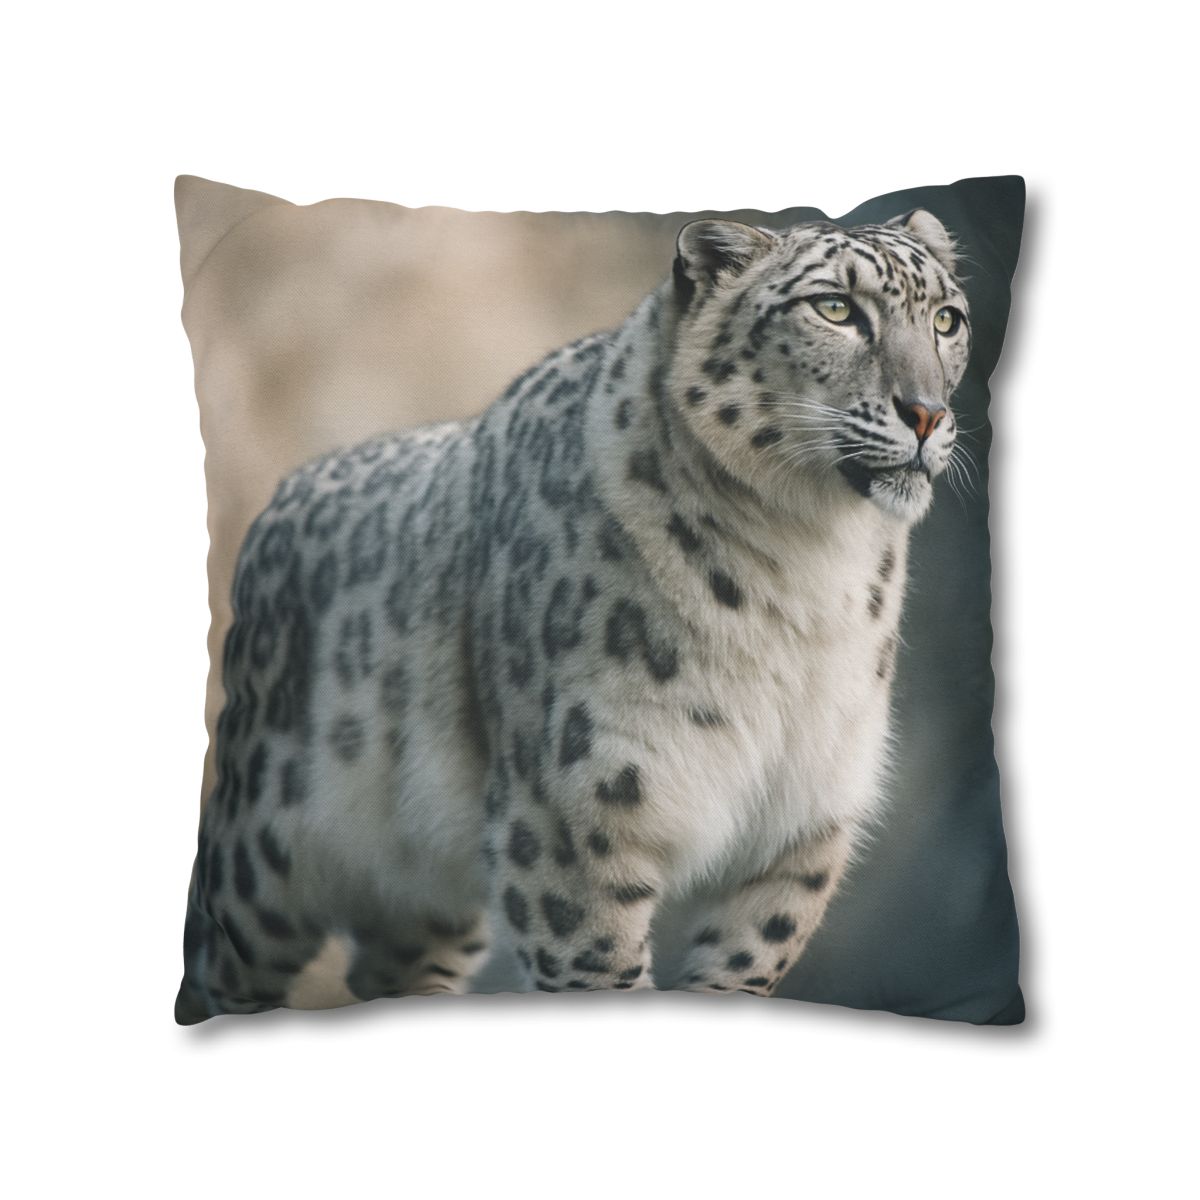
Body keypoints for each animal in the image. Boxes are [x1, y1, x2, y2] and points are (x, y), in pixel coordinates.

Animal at [176, 208, 971, 1022]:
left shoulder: (800, 824)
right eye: (835, 308)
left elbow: (741, 966)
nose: (927, 412)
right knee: (218, 959)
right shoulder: (574, 818)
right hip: (262, 860)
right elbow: (599, 968)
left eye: (947, 319)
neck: (811, 565)